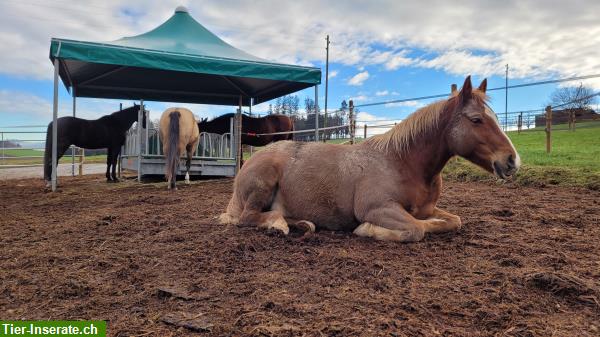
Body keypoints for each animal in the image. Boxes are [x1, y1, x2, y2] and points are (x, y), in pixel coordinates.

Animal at [219, 77, 520, 242]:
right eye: (476, 120)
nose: (512, 160)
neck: (402, 163)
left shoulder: (428, 209)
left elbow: (453, 221)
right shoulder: (378, 208)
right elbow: (416, 229)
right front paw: (369, 230)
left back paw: (297, 223)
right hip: (263, 185)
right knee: (248, 217)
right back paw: (277, 225)